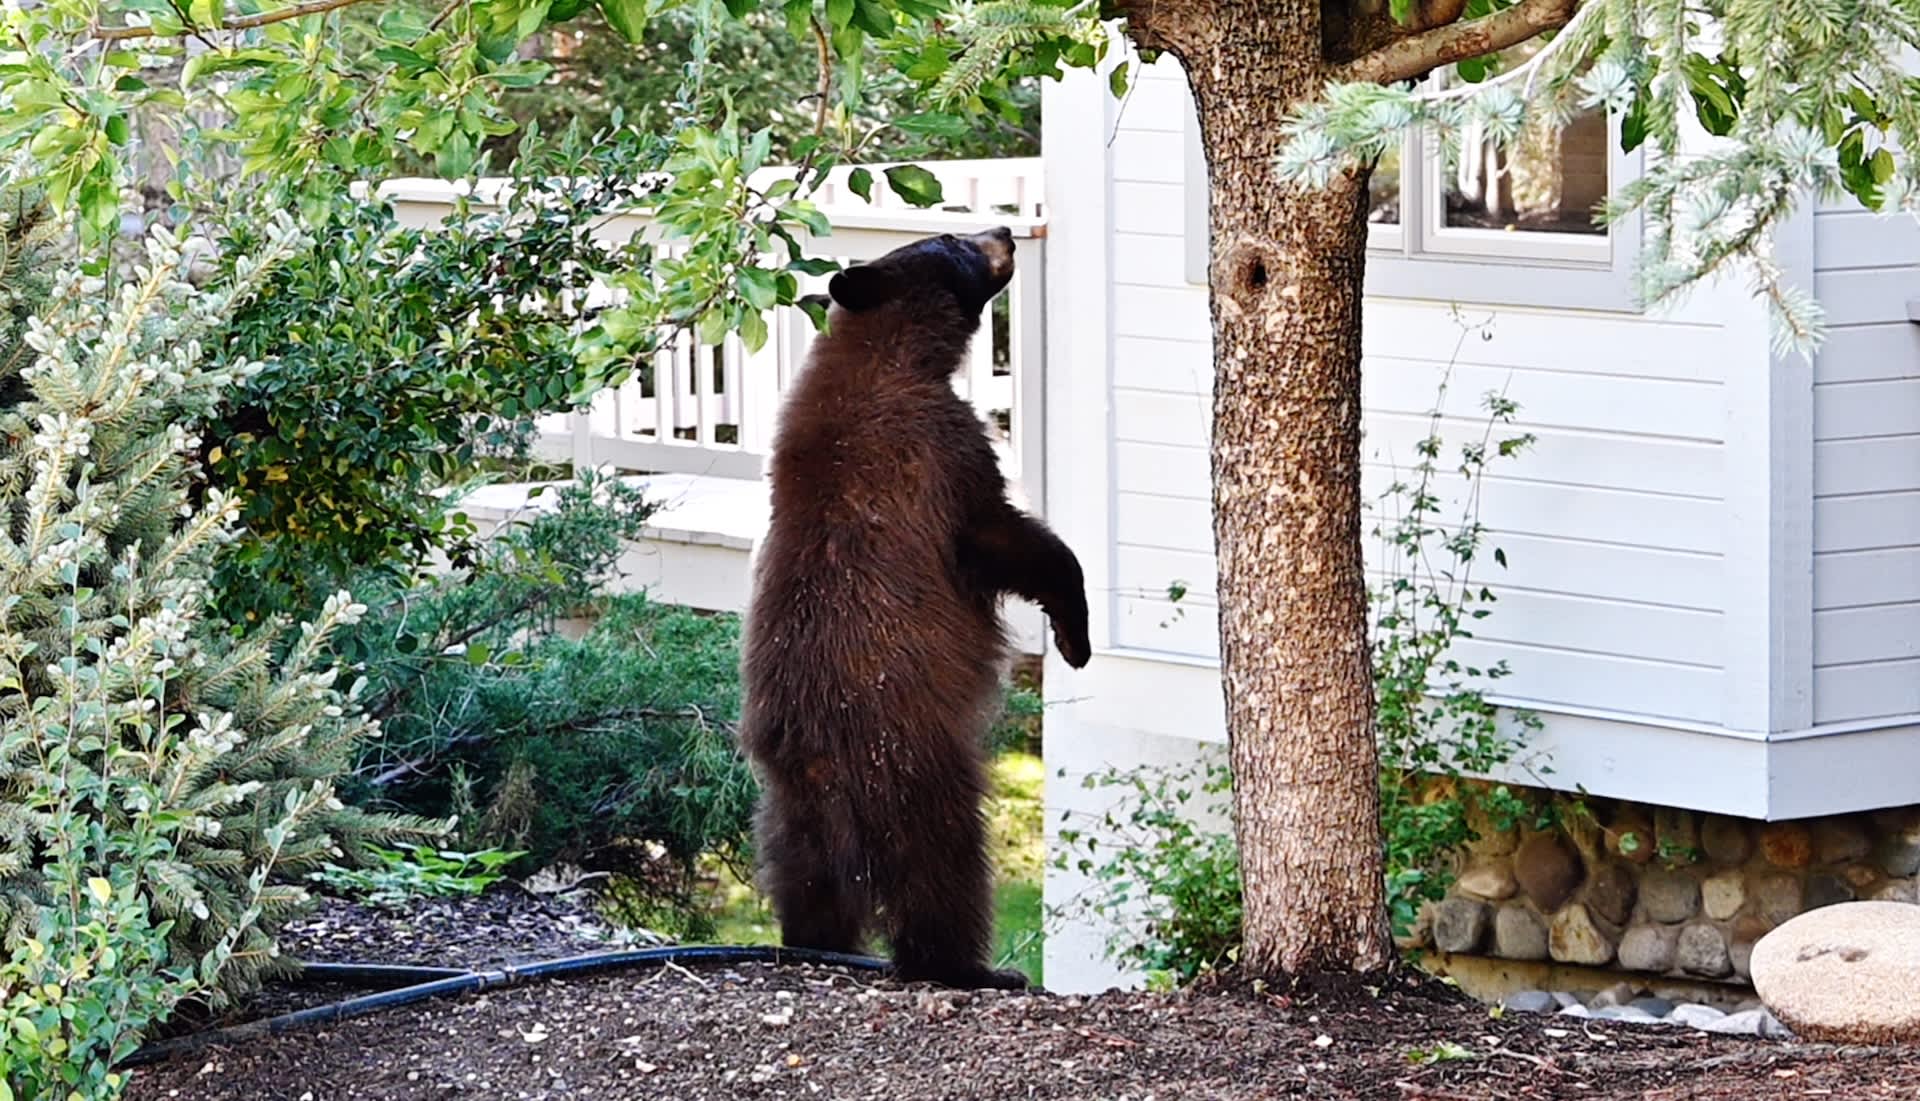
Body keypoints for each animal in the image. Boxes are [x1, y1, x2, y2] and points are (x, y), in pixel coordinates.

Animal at [739, 227, 1091, 990]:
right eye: (952, 239)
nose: (1004, 230)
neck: (889, 351)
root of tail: (819, 756)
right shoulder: (939, 448)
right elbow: (1003, 536)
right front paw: (1074, 634)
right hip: (914, 769)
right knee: (945, 871)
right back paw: (973, 967)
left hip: (785, 806)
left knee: (803, 878)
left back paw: (816, 941)